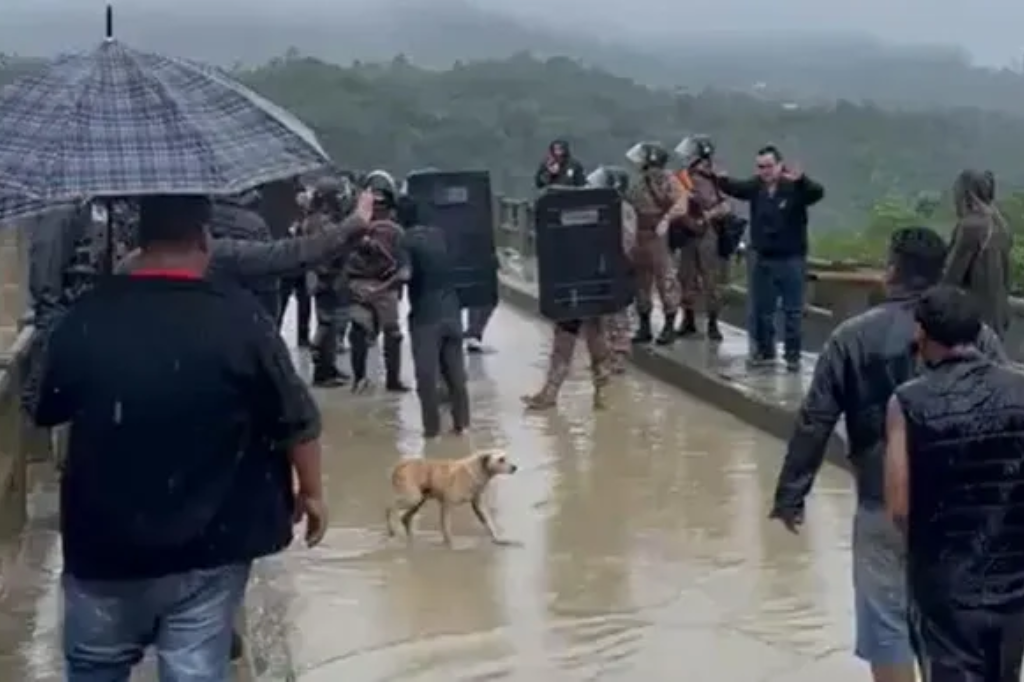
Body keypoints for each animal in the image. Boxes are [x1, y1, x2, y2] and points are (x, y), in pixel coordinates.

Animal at [385, 448, 516, 544]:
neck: (477, 470)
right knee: (391, 508)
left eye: (507, 457)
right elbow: (447, 527)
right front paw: (450, 544)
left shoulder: (478, 505)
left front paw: (498, 539)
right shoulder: (447, 504)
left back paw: (408, 537)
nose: (515, 467)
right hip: (413, 497)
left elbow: (489, 522)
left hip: (420, 499)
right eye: (501, 459)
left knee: (405, 517)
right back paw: (394, 529)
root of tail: (402, 464)